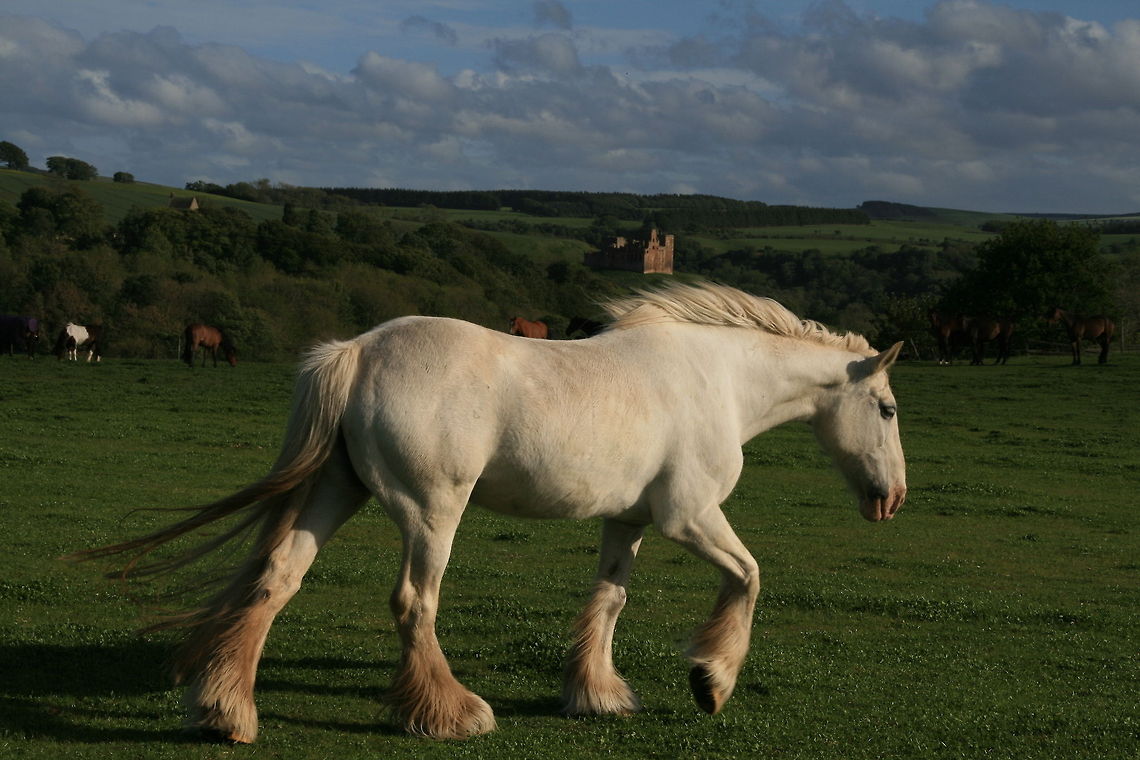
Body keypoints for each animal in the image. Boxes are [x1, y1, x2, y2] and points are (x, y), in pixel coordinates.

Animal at [71, 283, 907, 743]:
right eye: (890, 409)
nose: (891, 499)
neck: (718, 379)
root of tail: (358, 352)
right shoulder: (690, 516)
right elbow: (750, 577)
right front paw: (712, 681)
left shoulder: (629, 523)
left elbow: (608, 601)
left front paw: (597, 695)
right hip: (432, 509)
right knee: (415, 602)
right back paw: (450, 712)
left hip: (335, 492)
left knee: (275, 581)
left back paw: (226, 713)